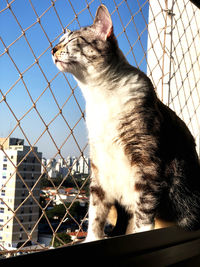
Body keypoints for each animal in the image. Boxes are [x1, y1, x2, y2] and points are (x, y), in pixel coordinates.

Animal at [51, 4, 200, 243]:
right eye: (59, 40)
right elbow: (96, 211)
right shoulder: (99, 165)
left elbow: (144, 213)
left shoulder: (146, 160)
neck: (100, 96)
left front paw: (141, 234)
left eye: (72, 40)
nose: (53, 49)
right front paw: (93, 238)